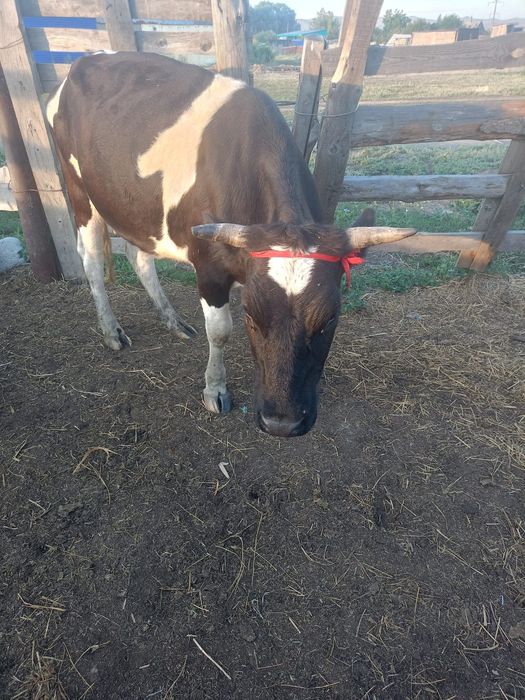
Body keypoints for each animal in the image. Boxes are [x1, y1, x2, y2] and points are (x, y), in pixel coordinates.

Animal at [47, 52, 415, 437]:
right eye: (251, 315)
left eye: (329, 320)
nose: (282, 423)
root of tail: (82, 63)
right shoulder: (208, 266)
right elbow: (220, 332)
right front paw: (215, 389)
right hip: (80, 193)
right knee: (90, 260)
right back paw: (111, 331)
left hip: (136, 207)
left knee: (139, 255)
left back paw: (173, 321)